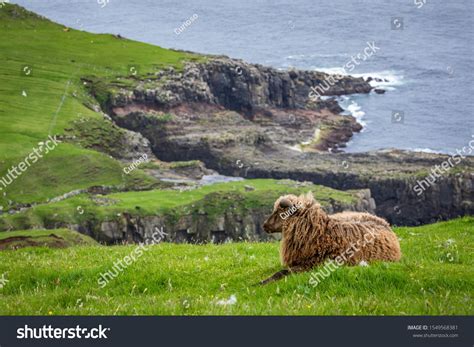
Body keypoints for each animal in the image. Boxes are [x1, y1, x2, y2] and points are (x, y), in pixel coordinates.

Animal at [260, 193, 400, 286]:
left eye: (280, 213)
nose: (264, 225)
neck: (321, 233)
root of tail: (384, 222)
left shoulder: (312, 264)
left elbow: (282, 272)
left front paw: (261, 283)